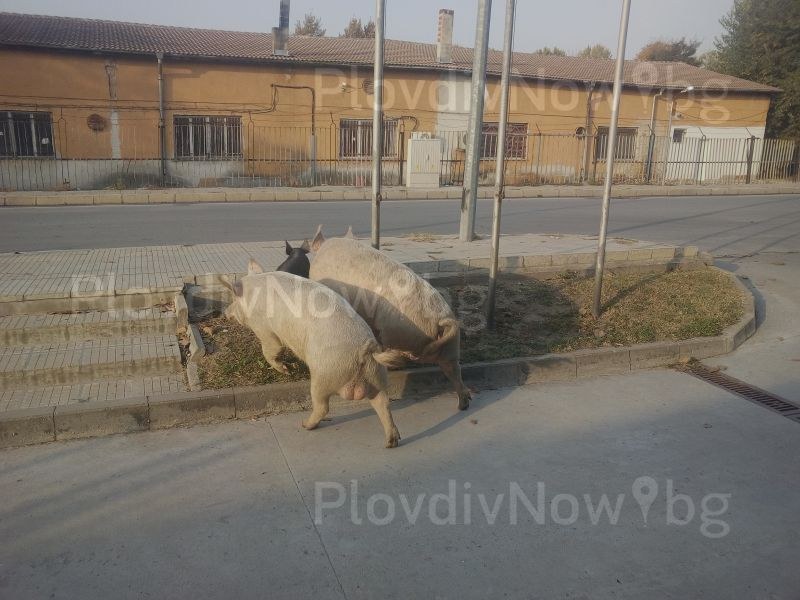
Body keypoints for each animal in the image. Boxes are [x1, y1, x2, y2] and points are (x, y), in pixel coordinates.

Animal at [222, 260, 404, 448]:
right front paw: (291, 367)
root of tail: (365, 349)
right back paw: (391, 442)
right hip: (377, 375)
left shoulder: (264, 329)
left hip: (325, 374)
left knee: (323, 406)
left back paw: (305, 425)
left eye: (233, 299)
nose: (225, 313)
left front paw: (287, 371)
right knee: (384, 403)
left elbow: (271, 349)